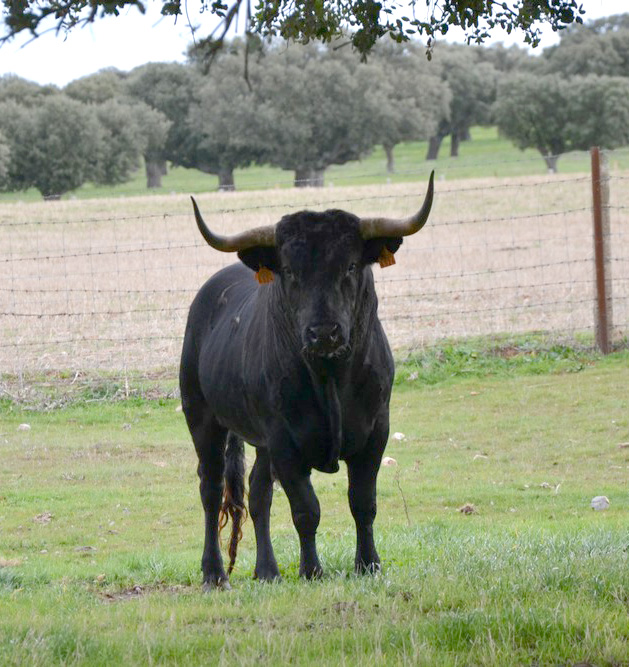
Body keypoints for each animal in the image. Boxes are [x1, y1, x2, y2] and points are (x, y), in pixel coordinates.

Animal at [180, 173, 434, 589]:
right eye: (290, 270)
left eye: (350, 265)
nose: (323, 333)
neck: (330, 377)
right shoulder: (284, 440)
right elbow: (305, 509)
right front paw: (311, 569)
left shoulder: (376, 431)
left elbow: (363, 502)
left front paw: (369, 564)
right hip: (202, 417)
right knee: (211, 488)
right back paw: (215, 573)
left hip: (259, 442)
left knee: (258, 491)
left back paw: (267, 571)